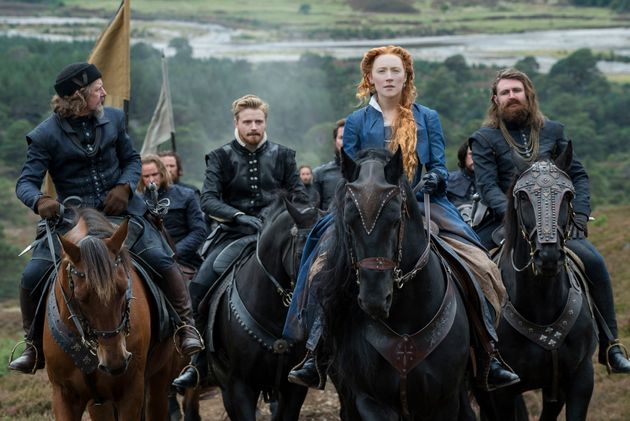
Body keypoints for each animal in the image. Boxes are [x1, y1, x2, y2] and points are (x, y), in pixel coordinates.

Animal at [43, 208, 175, 418]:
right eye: (80, 297)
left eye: (123, 289)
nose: (116, 362)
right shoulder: (63, 394)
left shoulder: (131, 392)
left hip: (159, 378)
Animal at [482, 144, 600, 416]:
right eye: (524, 197)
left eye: (567, 196)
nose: (548, 256)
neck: (542, 304)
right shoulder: (503, 393)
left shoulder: (578, 381)